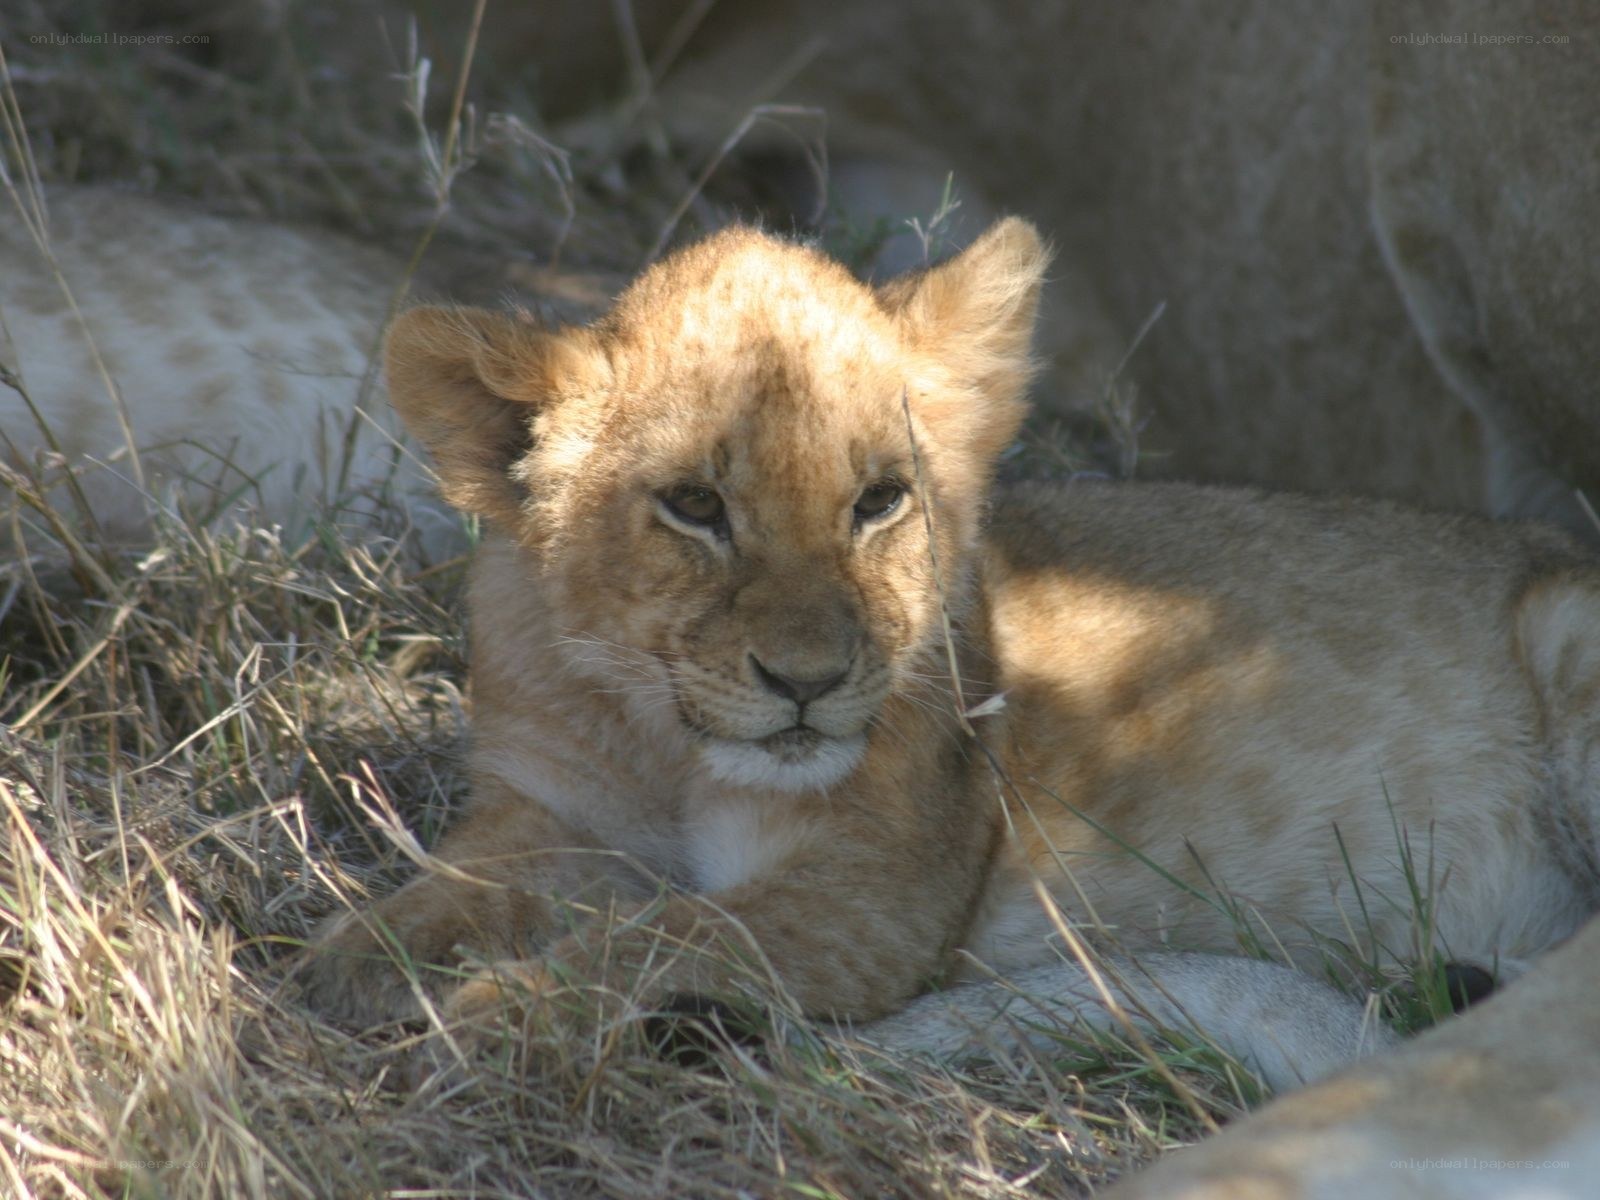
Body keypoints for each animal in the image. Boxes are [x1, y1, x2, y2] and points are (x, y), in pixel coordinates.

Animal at [299, 218, 1600, 1100]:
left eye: (879, 500)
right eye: (693, 507)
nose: (809, 684)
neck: (661, 739)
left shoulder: (871, 890)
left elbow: (658, 941)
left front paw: (480, 1019)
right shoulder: (548, 811)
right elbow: (445, 892)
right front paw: (345, 969)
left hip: (1566, 634)